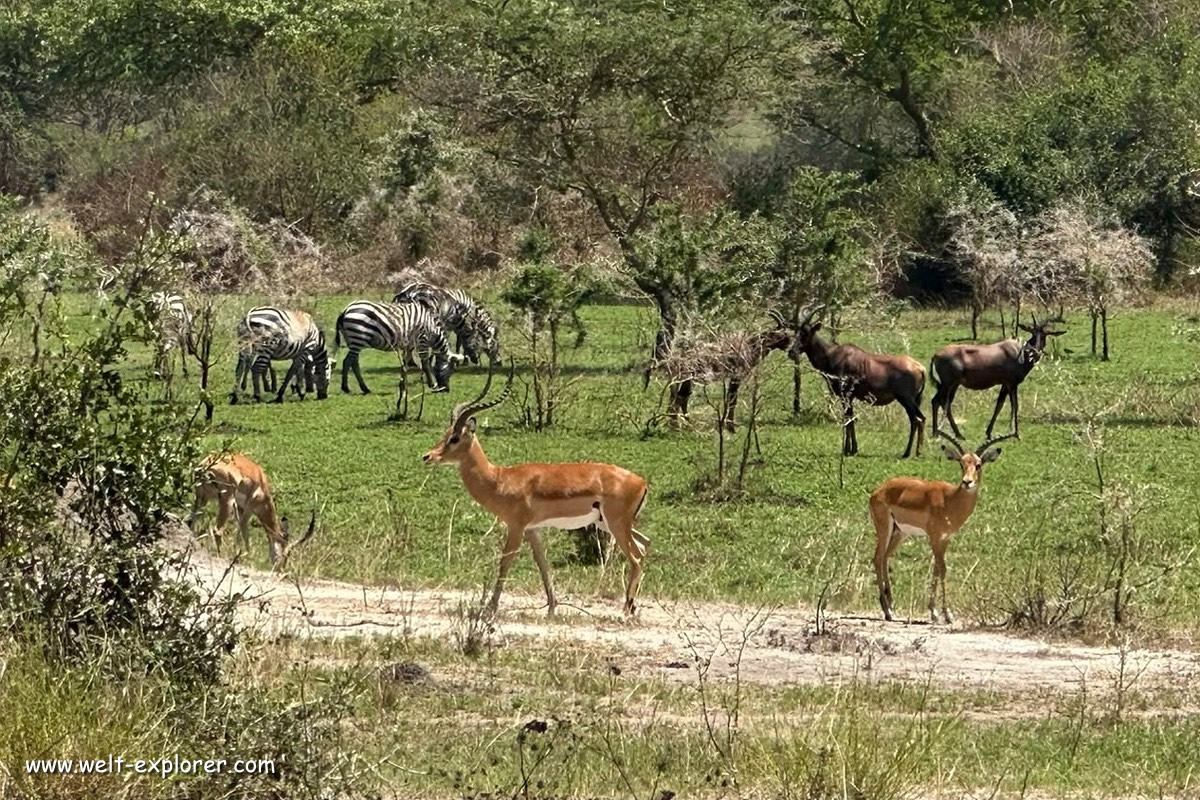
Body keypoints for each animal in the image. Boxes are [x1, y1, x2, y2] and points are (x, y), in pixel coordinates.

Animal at [335, 300, 463, 394]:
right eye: (449, 372)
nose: (446, 390)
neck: (432, 330)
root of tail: (345, 310)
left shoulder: (410, 344)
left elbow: (406, 363)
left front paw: (402, 383)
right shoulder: (422, 340)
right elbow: (425, 364)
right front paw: (433, 385)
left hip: (353, 341)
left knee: (354, 363)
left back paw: (364, 388)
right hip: (357, 338)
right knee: (347, 362)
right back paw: (346, 388)